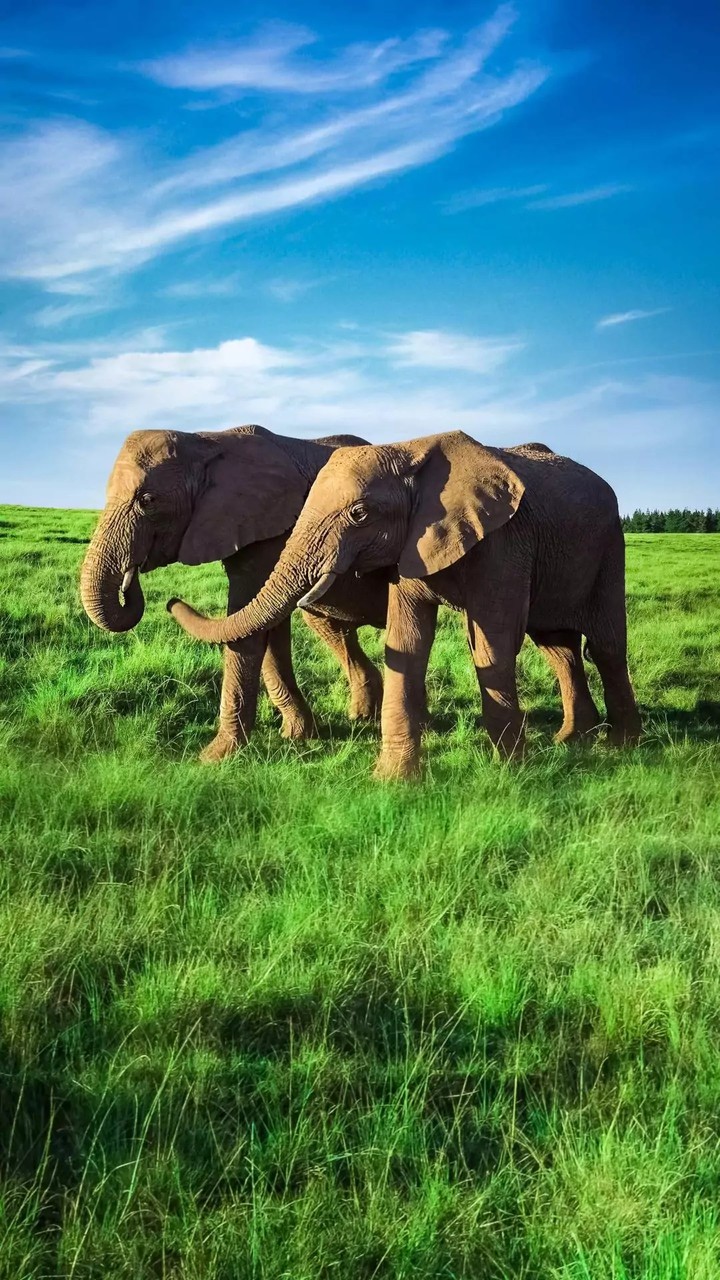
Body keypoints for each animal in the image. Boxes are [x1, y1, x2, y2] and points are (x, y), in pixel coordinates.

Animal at [80, 425, 387, 761]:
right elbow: (264, 627)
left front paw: (213, 757)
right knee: (328, 625)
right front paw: (297, 735)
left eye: (147, 500)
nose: (169, 601)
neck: (204, 441)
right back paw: (363, 716)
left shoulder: (270, 527)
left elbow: (247, 624)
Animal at [168, 431, 642, 778]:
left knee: (604, 646)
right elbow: (408, 642)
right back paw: (572, 740)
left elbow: (493, 644)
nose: (172, 599)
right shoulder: (412, 543)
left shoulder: (504, 542)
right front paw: (393, 780)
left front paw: (509, 770)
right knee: (558, 647)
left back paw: (620, 747)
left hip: (609, 546)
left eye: (359, 514)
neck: (410, 450)